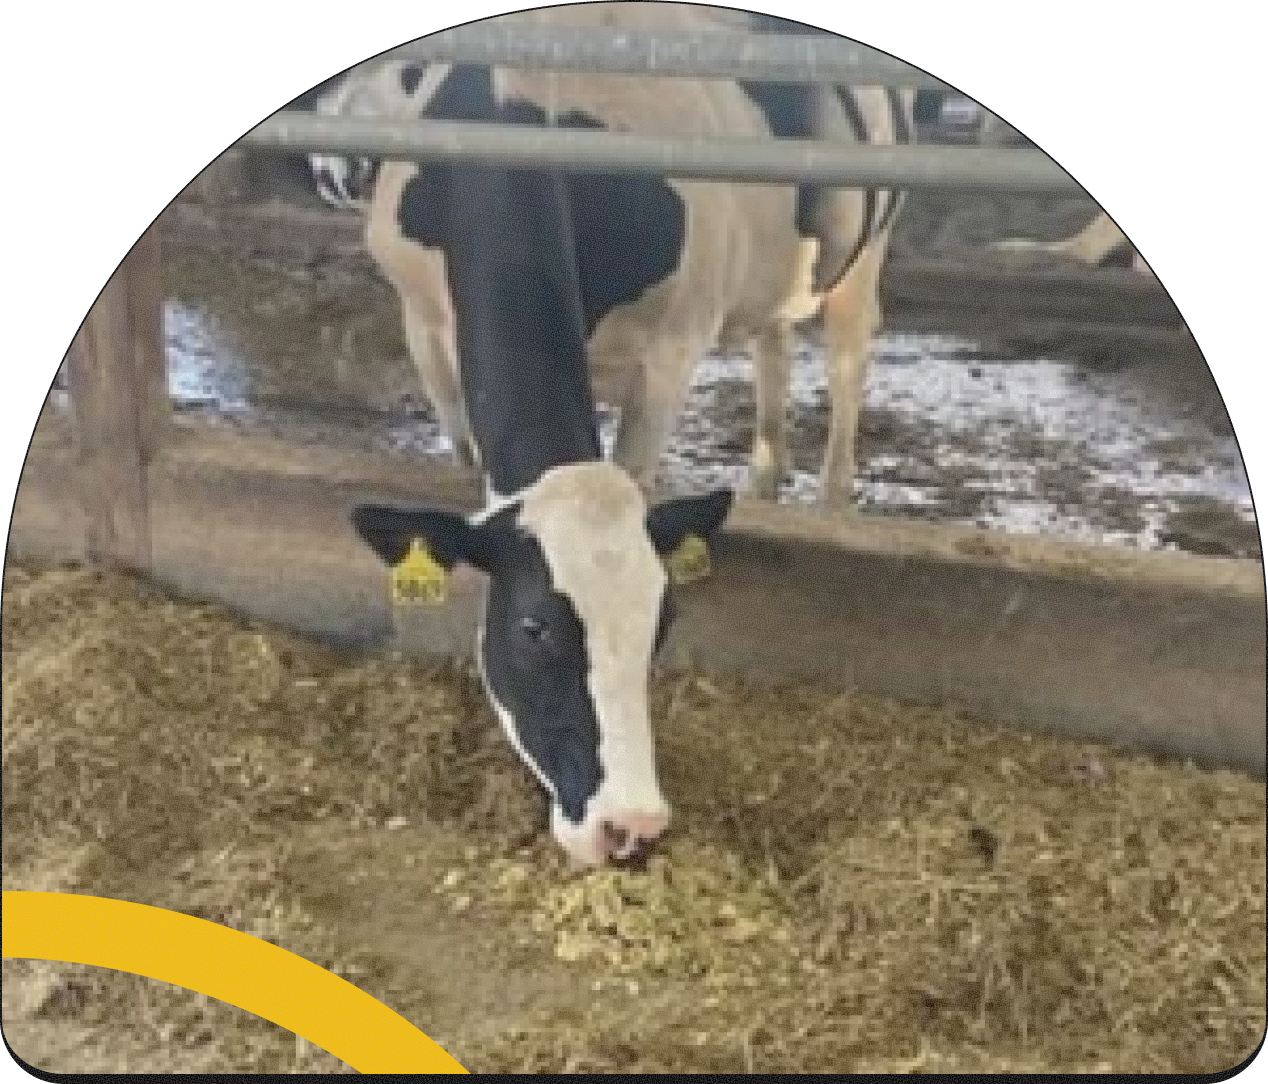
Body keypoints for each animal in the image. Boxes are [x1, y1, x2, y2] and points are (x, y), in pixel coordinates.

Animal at [300, 3, 915, 510]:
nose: (337, 172)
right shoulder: (424, 320)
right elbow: (467, 452)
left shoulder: (676, 342)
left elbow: (632, 473)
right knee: (774, 342)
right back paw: (767, 475)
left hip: (869, 248)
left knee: (847, 363)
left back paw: (834, 497)